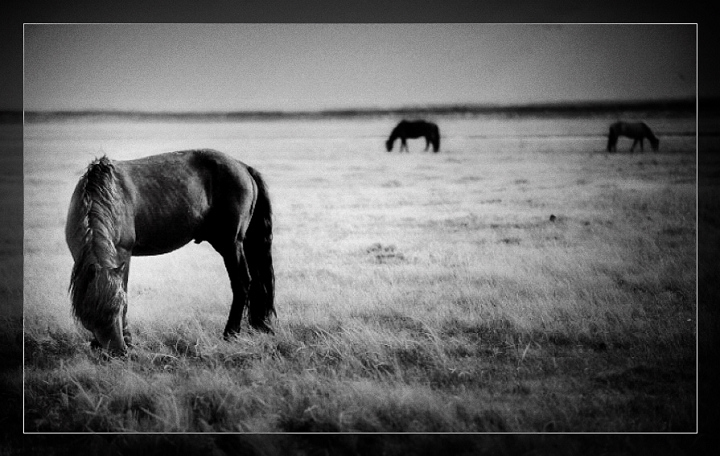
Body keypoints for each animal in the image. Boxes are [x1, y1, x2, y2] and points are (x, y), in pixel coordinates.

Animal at [65, 149, 275, 356]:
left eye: (120, 307)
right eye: (90, 313)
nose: (119, 351)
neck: (108, 194)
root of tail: (243, 167)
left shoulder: (124, 254)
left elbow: (123, 287)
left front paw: (128, 339)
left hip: (231, 244)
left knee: (242, 283)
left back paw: (230, 334)